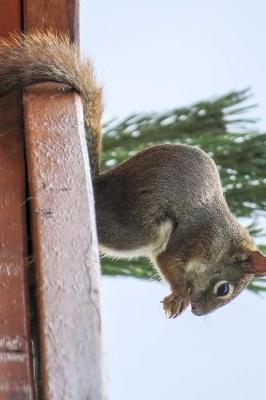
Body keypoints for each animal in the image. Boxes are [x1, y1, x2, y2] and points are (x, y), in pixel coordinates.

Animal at [0, 31, 264, 318]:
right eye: (224, 289)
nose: (198, 312)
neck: (220, 240)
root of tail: (96, 187)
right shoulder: (192, 239)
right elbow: (167, 262)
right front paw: (179, 295)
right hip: (142, 228)